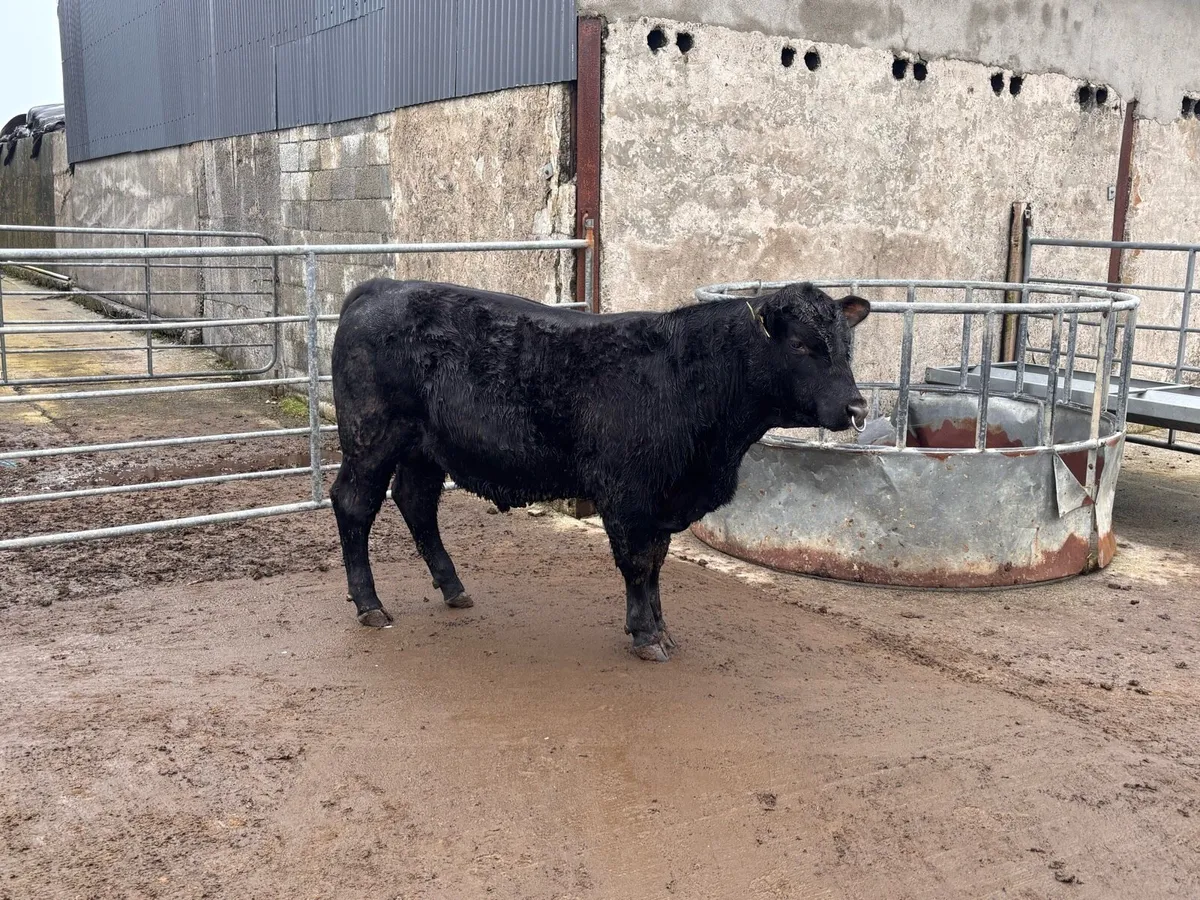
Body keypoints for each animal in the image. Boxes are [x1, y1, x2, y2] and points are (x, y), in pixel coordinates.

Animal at [329, 279, 870, 661]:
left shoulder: (663, 498)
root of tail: (382, 286)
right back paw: (369, 604)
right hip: (371, 437)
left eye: (847, 346)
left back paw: (453, 588)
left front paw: (661, 627)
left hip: (424, 447)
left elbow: (656, 562)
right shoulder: (627, 493)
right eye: (800, 345)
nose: (857, 407)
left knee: (416, 502)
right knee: (354, 504)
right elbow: (636, 562)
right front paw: (646, 634)